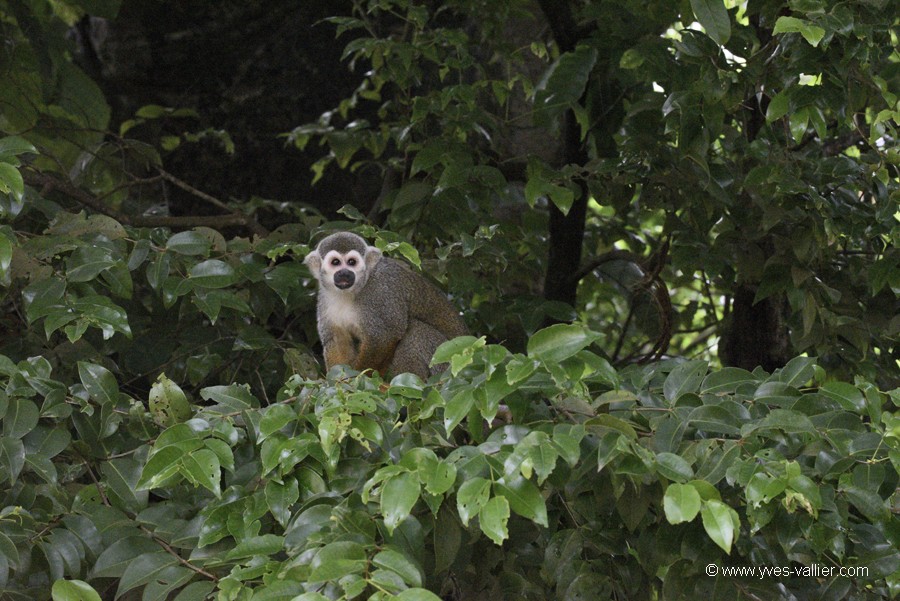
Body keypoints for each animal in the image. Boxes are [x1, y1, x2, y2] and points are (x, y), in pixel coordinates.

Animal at [304, 231, 468, 378]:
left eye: (351, 262)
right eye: (335, 263)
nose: (344, 273)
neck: (352, 292)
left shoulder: (382, 293)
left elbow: (385, 336)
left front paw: (358, 376)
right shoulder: (325, 299)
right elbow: (337, 340)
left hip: (446, 361)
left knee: (414, 330)